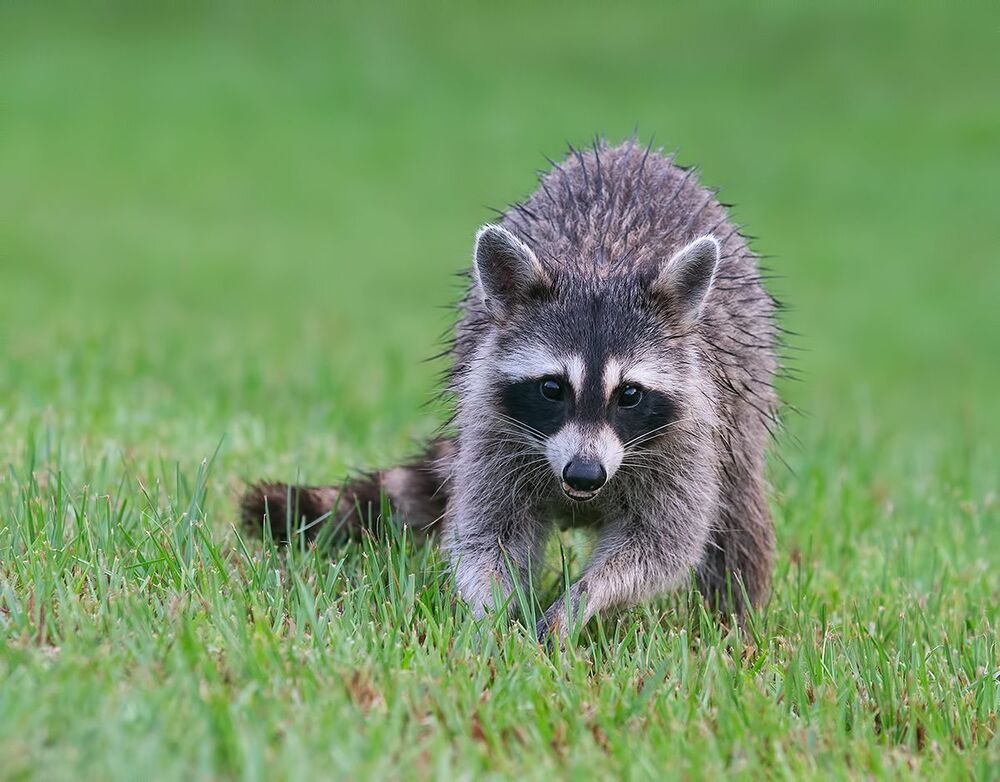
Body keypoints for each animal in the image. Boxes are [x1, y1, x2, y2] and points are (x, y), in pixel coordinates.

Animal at [242, 139, 780, 639]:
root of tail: (627, 151)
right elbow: (487, 535)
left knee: (738, 518)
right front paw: (496, 617)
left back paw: (733, 621)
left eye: (629, 394)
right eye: (552, 388)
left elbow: (660, 545)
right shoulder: (492, 426)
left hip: (738, 424)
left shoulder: (685, 439)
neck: (602, 269)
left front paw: (581, 600)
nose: (584, 474)